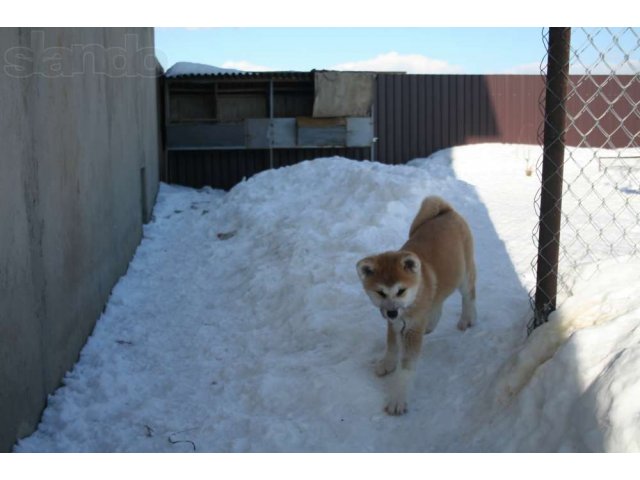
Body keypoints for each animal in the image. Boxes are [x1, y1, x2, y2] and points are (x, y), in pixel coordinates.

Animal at [356, 194, 476, 412]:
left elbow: (405, 368)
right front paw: (387, 363)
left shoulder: (412, 330)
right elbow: (391, 345)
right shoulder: (394, 324)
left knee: (469, 295)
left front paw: (397, 398)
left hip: (464, 274)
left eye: (401, 291)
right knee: (438, 301)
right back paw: (431, 323)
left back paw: (467, 318)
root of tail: (447, 210)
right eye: (380, 292)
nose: (392, 312)